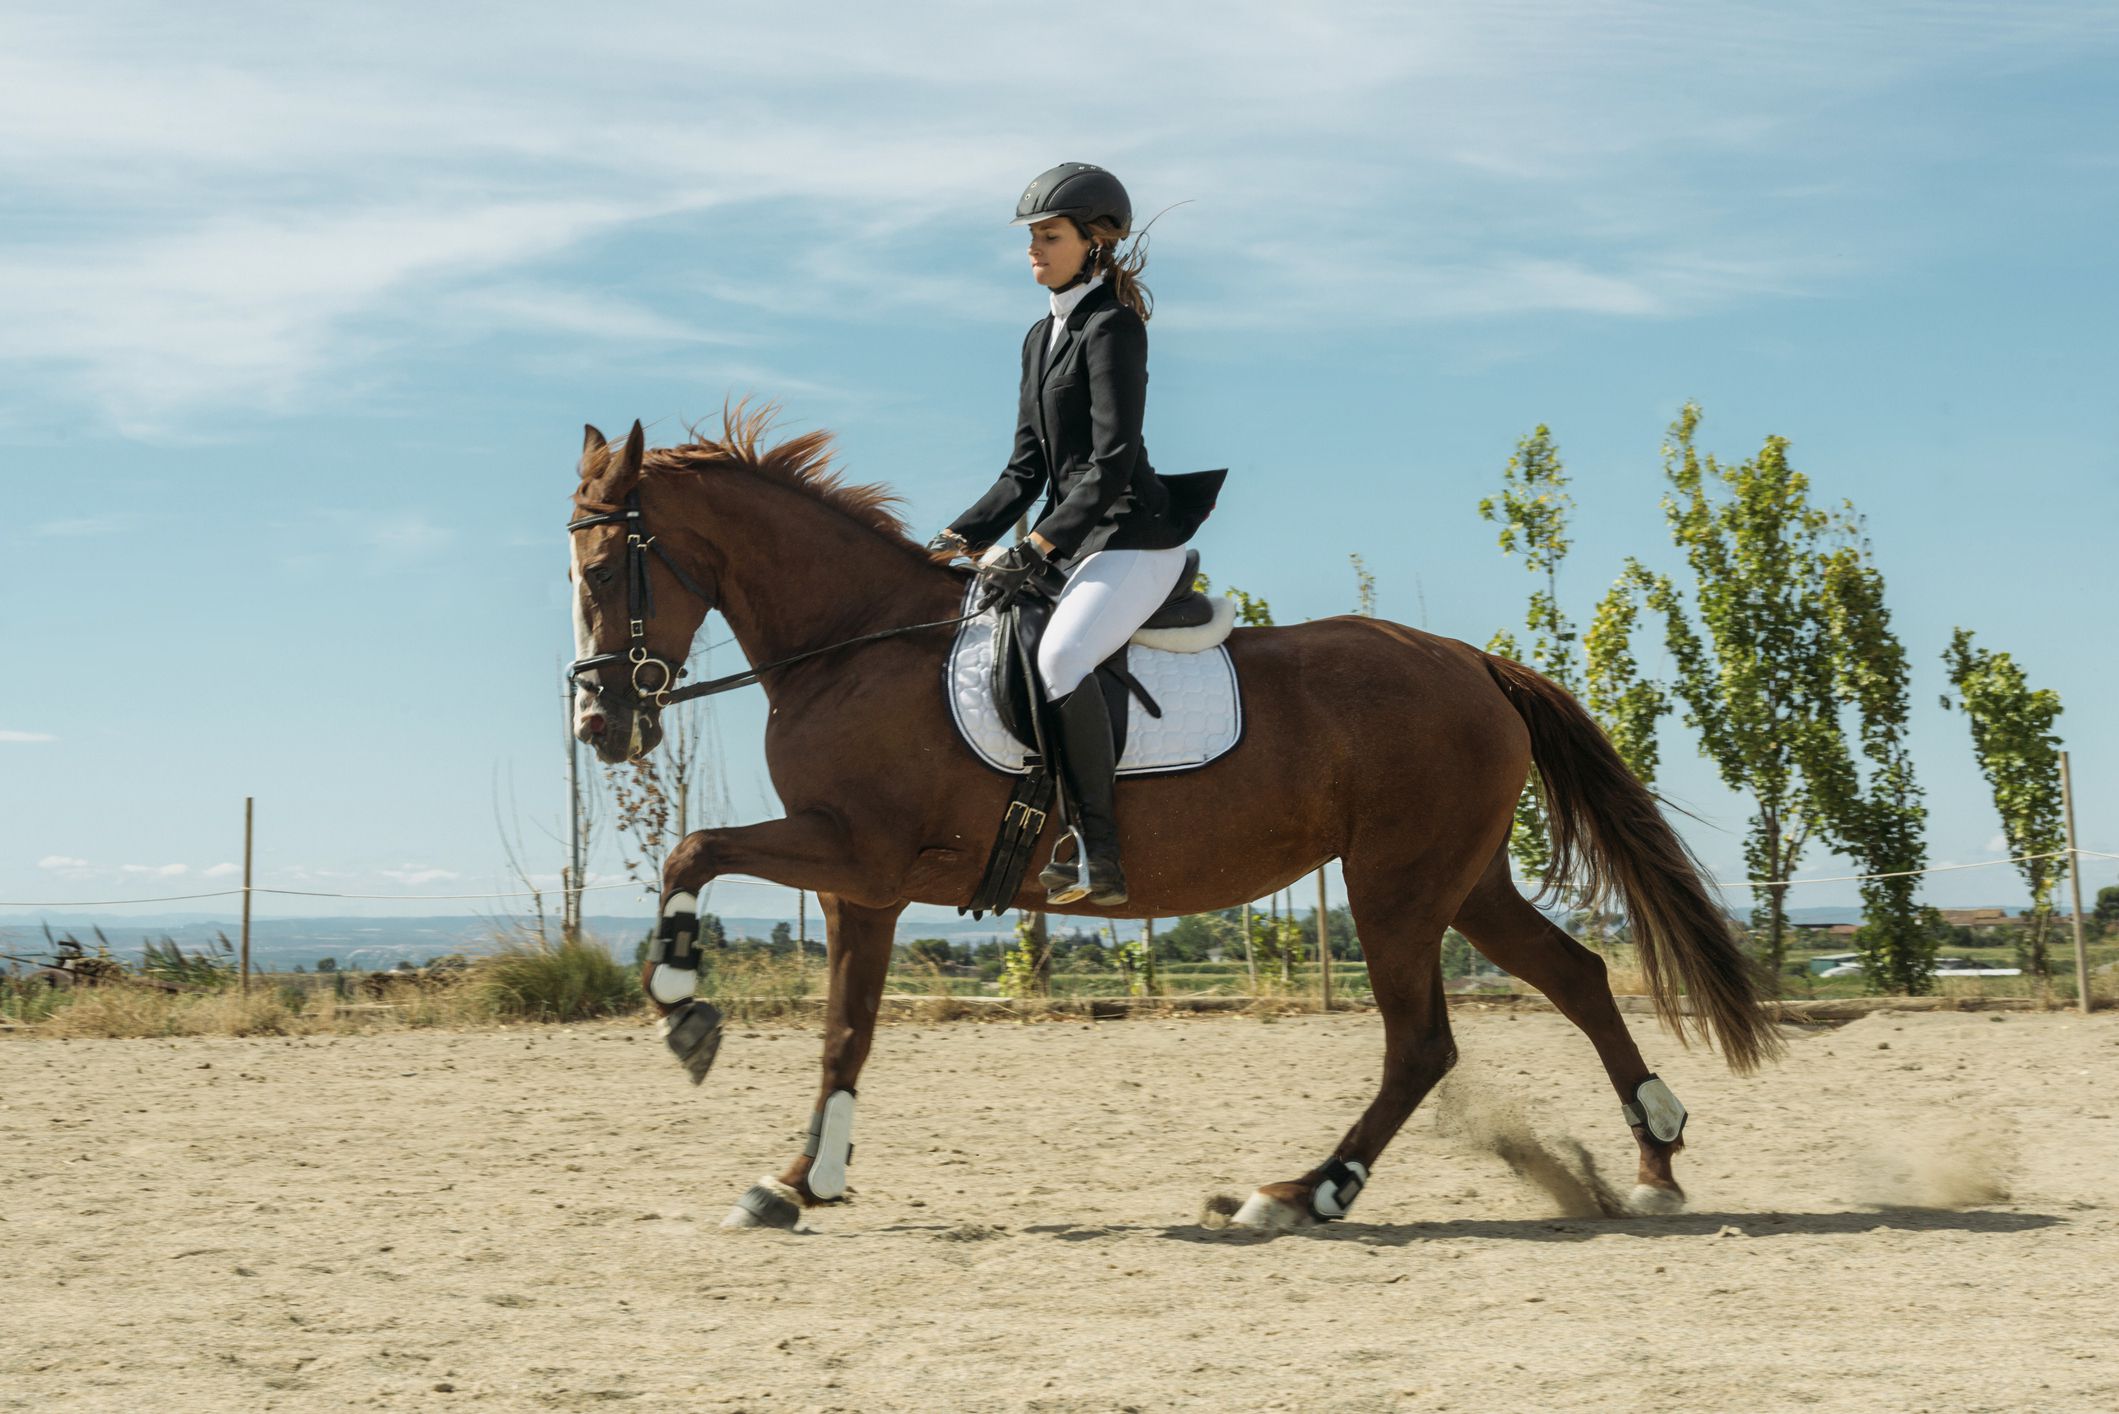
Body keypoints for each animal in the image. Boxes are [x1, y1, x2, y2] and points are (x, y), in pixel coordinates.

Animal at [565, 408, 1781, 1231]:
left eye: (605, 567)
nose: (599, 725)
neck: (852, 647)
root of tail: (1470, 662)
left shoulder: (857, 850)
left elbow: (693, 848)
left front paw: (681, 1003)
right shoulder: (858, 886)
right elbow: (843, 1032)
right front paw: (796, 1182)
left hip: (1396, 887)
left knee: (1422, 1042)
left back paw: (1301, 1192)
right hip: (1462, 880)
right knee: (1574, 975)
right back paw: (1654, 1164)